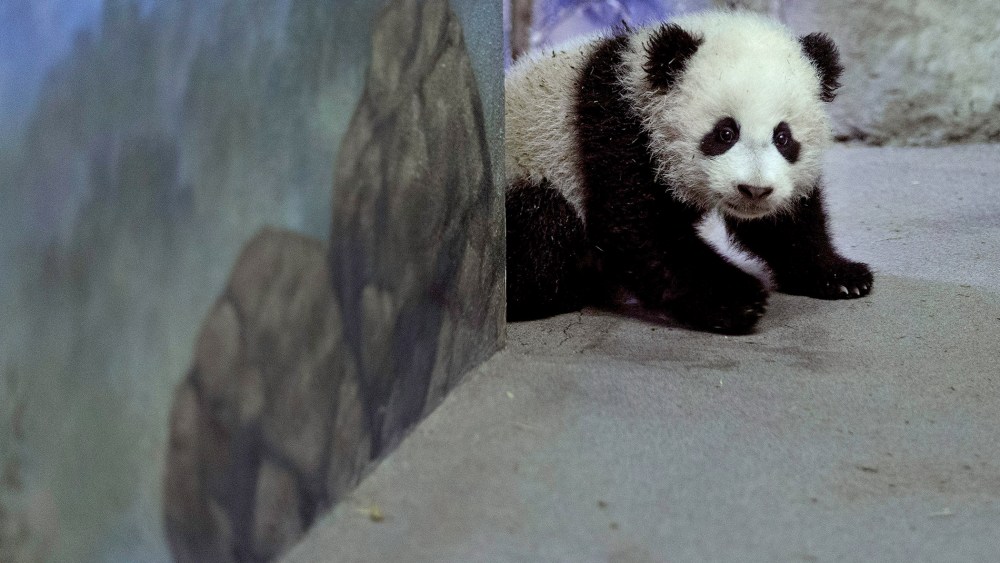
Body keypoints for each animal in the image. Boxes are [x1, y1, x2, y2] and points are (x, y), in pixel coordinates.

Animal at [505, 10, 873, 334]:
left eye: (783, 137)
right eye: (725, 133)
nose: (754, 191)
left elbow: (782, 225)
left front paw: (841, 276)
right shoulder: (616, 131)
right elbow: (638, 229)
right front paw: (737, 299)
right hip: (528, 173)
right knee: (545, 230)